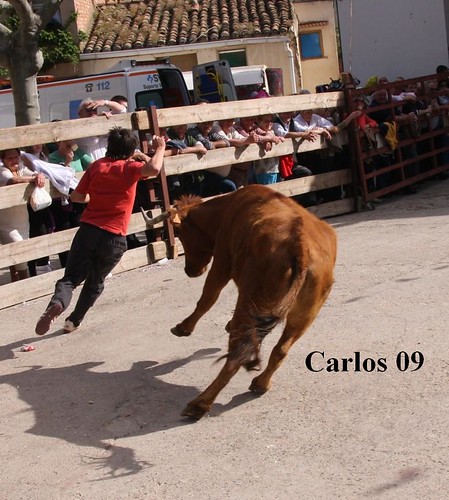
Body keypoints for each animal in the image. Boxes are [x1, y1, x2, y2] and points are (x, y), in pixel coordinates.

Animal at [144, 184, 336, 418]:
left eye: (179, 232)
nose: (191, 270)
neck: (226, 208)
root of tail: (301, 247)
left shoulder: (221, 261)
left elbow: (208, 298)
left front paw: (183, 328)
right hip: (305, 315)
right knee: (280, 349)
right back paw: (260, 384)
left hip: (250, 303)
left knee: (236, 355)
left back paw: (200, 404)